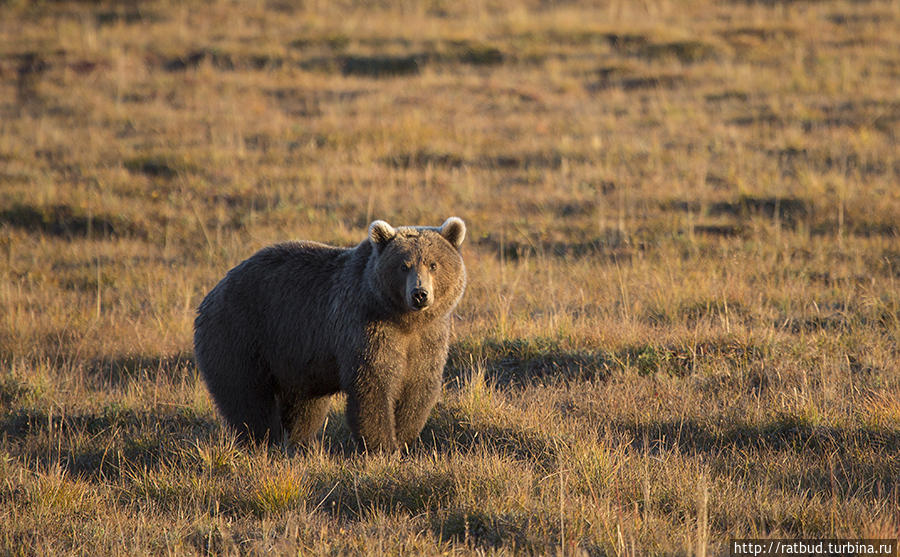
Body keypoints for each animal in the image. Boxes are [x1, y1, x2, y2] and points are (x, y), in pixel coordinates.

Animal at [192, 215, 468, 450]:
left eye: (433, 264)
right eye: (404, 266)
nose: (420, 294)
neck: (404, 320)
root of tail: (213, 292)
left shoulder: (428, 337)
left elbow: (418, 386)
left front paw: (403, 439)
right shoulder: (366, 327)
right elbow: (373, 384)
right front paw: (382, 446)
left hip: (295, 359)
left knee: (304, 406)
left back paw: (296, 442)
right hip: (241, 334)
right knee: (247, 397)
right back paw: (263, 440)